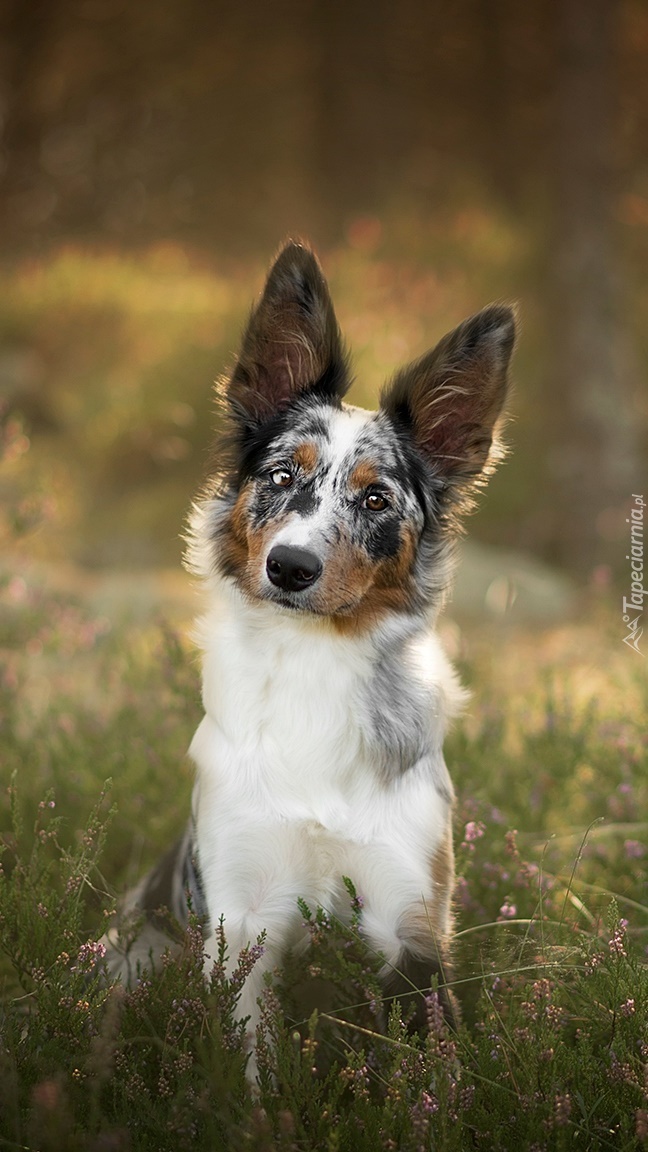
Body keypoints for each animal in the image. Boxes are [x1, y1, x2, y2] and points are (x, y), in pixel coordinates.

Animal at [102, 238, 514, 1073]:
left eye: (376, 499)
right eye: (280, 475)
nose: (290, 567)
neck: (313, 669)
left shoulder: (412, 925)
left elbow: (430, 1073)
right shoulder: (240, 918)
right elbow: (247, 1069)